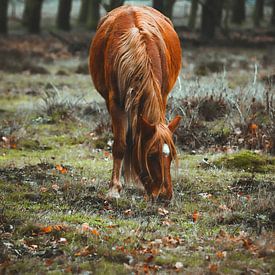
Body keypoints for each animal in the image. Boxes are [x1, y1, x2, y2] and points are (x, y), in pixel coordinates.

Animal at [89, 5, 182, 202]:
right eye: (151, 155)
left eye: (171, 157)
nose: (165, 196)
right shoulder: (115, 104)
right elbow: (119, 145)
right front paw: (114, 189)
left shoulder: (161, 96)